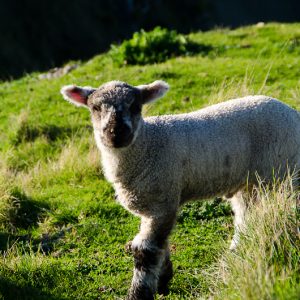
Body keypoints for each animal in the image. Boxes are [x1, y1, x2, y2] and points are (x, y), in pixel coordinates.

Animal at [60, 80, 300, 300]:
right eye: (95, 108)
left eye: (136, 106)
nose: (116, 134)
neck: (148, 144)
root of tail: (292, 113)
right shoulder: (153, 205)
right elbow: (160, 245)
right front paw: (164, 278)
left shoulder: (162, 202)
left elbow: (145, 251)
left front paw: (140, 292)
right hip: (249, 183)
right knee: (245, 218)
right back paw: (236, 253)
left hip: (283, 174)